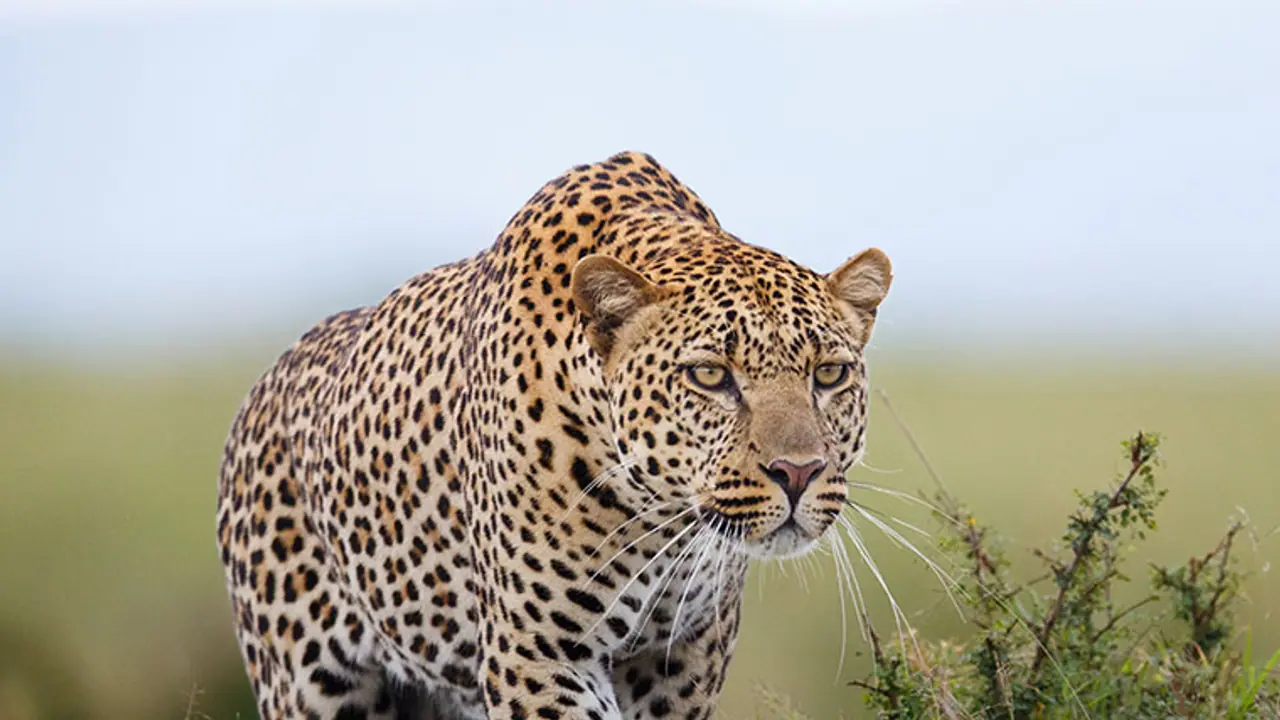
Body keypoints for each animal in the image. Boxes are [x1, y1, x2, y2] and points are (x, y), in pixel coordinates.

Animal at [216, 150, 893, 719]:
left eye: (828, 374)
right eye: (710, 375)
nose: (799, 472)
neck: (659, 519)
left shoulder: (683, 657)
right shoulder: (539, 655)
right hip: (308, 679)